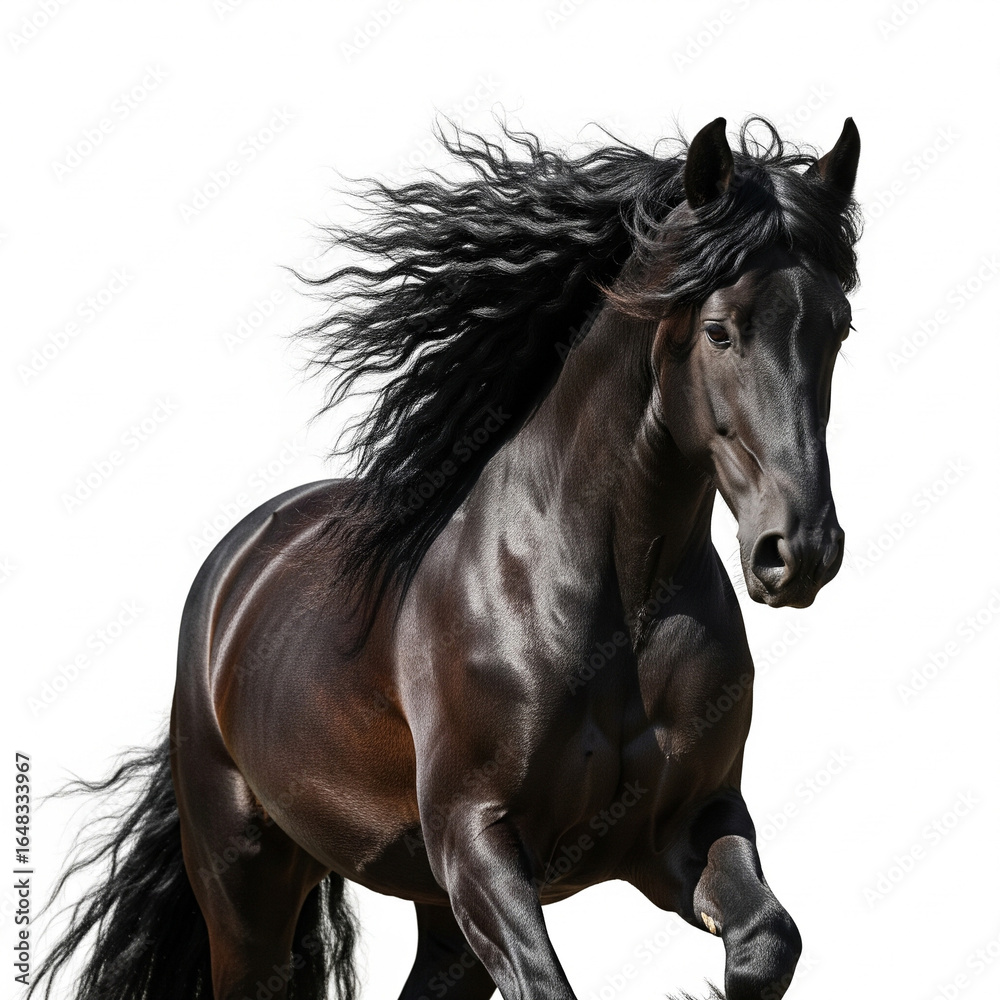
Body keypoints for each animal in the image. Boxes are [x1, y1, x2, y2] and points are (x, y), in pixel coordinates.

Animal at [33, 115, 862, 1000]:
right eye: (719, 330)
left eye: (837, 327)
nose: (801, 549)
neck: (607, 598)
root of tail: (233, 566)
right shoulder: (477, 840)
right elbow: (550, 986)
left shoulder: (685, 825)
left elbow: (767, 942)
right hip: (246, 884)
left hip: (434, 917)